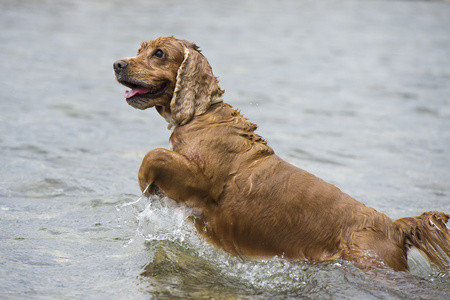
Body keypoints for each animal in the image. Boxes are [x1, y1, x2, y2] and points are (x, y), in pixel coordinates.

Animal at [113, 36, 450, 274]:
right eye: (140, 49)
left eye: (159, 54)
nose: (117, 64)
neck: (202, 114)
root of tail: (395, 227)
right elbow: (158, 155)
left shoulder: (204, 182)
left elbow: (154, 155)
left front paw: (146, 187)